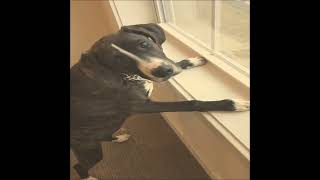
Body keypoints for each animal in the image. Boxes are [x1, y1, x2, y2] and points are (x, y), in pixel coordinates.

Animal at [70, 23, 250, 179]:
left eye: (143, 44)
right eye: (120, 61)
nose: (163, 71)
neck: (126, 76)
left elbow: (178, 63)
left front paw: (192, 61)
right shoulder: (144, 106)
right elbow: (190, 103)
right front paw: (233, 104)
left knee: (105, 136)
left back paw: (119, 137)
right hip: (90, 149)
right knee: (79, 166)